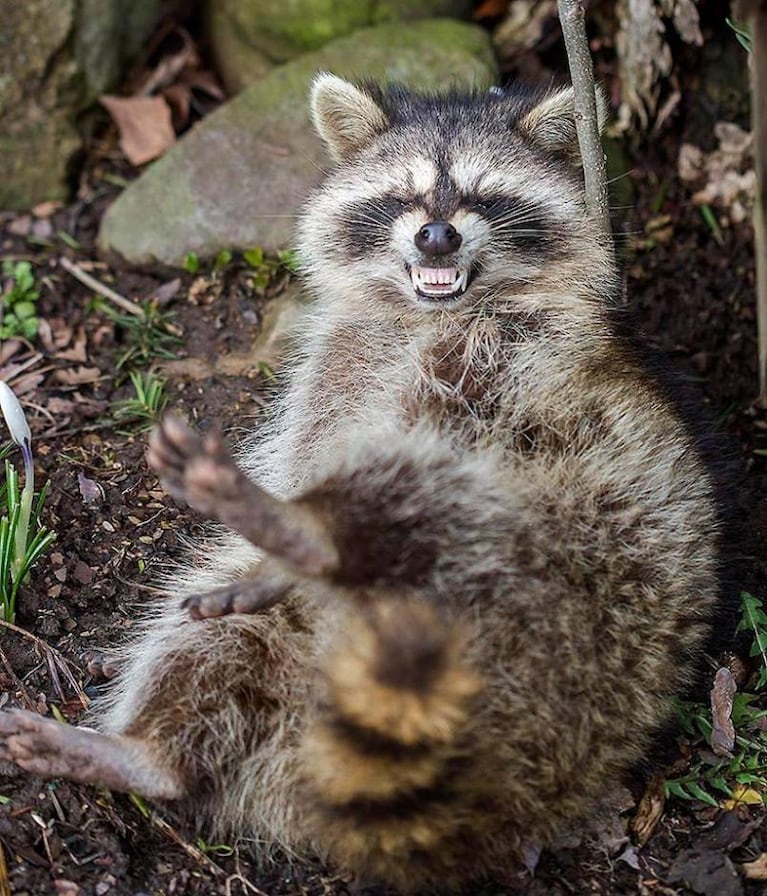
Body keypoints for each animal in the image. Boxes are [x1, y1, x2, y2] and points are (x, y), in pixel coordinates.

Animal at [0, 73, 728, 892]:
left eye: (483, 197)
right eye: (402, 198)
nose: (436, 236)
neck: (429, 311)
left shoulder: (534, 364)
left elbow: (443, 430)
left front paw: (304, 518)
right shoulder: (336, 371)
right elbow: (312, 445)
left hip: (581, 552)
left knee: (427, 488)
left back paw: (315, 534)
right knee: (208, 651)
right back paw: (148, 753)